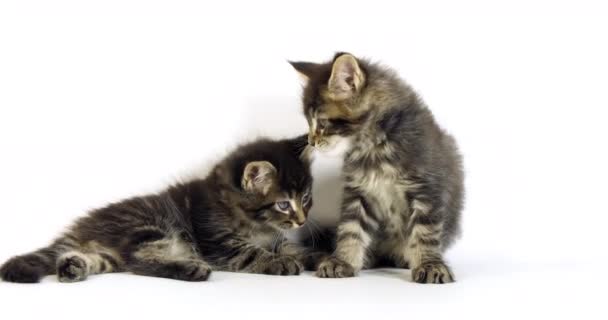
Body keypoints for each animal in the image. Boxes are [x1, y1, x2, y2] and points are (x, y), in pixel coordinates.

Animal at [1, 135, 324, 282]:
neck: (256, 224)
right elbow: (252, 253)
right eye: (283, 204)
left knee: (109, 260)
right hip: (150, 226)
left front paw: (319, 257)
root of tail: (85, 227)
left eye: (307, 197)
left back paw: (72, 267)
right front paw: (281, 263)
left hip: (108, 255)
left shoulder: (277, 239)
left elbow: (292, 247)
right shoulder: (218, 242)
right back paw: (190, 268)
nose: (301, 220)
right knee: (138, 259)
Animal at [290, 53, 466, 284]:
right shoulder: (359, 192)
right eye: (309, 122)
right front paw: (343, 261)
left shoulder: (425, 188)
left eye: (322, 123)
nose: (311, 142)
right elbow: (351, 230)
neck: (374, 148)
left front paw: (429, 265)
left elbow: (424, 232)